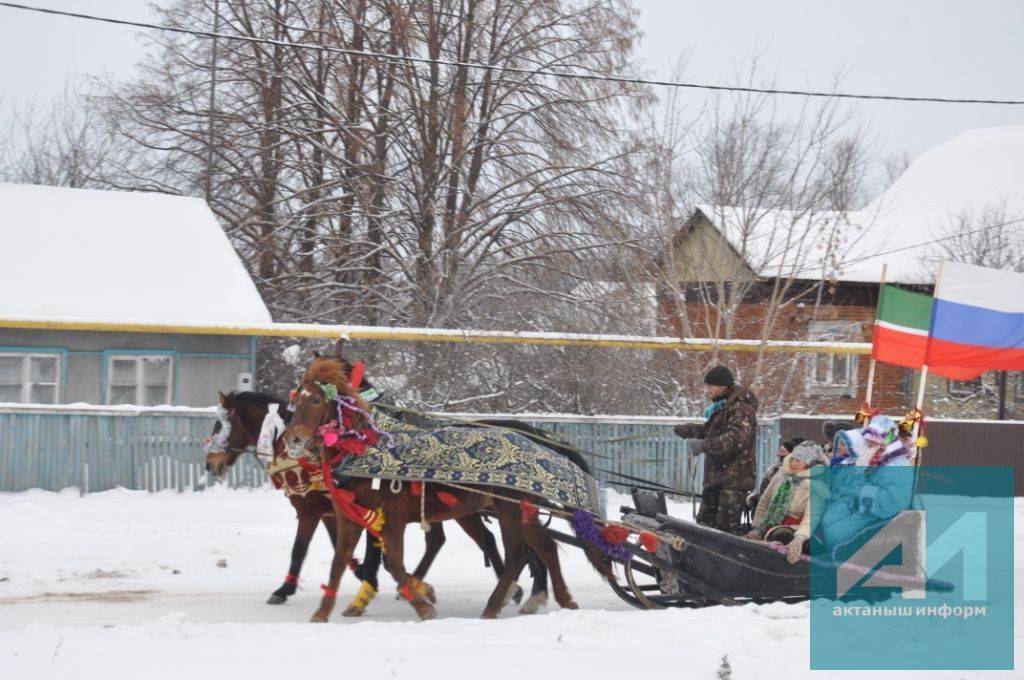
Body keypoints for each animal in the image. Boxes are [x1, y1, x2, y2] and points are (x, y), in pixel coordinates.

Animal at [282, 356, 614, 622]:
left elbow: (395, 563)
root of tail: (537, 438)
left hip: (510, 508)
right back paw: (562, 600)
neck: (366, 447)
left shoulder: (392, 518)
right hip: (519, 510)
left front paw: (422, 603)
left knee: (518, 554)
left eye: (316, 401)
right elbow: (339, 563)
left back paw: (496, 604)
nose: (294, 439)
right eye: (297, 400)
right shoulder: (350, 517)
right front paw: (323, 612)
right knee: (544, 548)